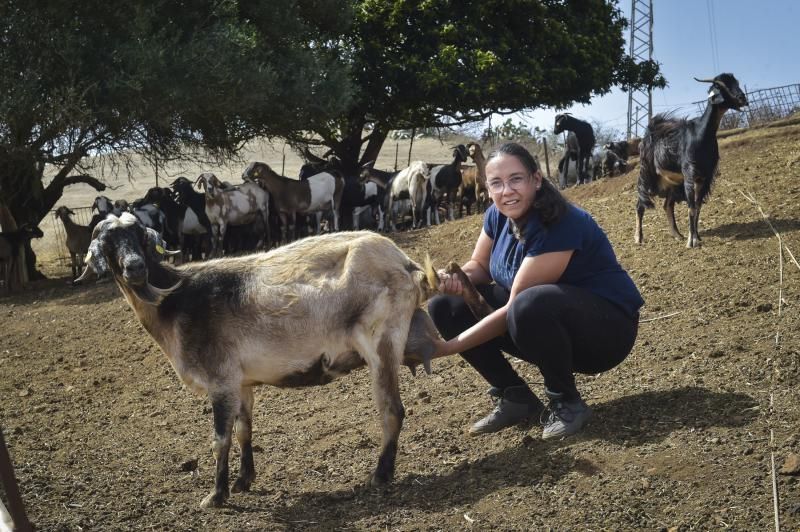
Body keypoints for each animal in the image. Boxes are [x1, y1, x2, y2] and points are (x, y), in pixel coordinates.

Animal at [73, 214, 444, 510]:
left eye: (139, 237)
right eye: (108, 244)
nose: (135, 268)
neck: (176, 301)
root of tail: (406, 264)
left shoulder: (220, 381)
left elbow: (219, 439)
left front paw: (216, 495)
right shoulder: (241, 383)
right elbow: (243, 431)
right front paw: (244, 481)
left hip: (381, 343)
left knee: (392, 410)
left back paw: (380, 475)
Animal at [636, 73, 748, 249]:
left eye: (736, 83)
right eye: (722, 87)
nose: (743, 98)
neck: (701, 135)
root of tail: (649, 132)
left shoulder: (705, 177)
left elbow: (698, 207)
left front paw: (696, 237)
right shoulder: (689, 174)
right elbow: (691, 208)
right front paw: (691, 241)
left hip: (673, 182)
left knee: (667, 205)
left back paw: (677, 235)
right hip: (647, 172)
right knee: (640, 204)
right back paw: (639, 238)